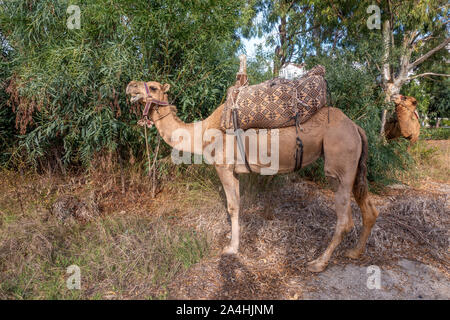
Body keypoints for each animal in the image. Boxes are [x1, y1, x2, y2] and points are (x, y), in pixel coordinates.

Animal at [126, 80, 380, 272]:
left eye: (153, 87)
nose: (130, 86)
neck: (203, 134)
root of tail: (356, 127)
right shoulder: (236, 171)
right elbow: (239, 205)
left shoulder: (224, 167)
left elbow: (232, 207)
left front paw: (231, 249)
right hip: (354, 165)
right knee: (369, 208)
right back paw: (355, 252)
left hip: (339, 163)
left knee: (345, 219)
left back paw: (318, 263)